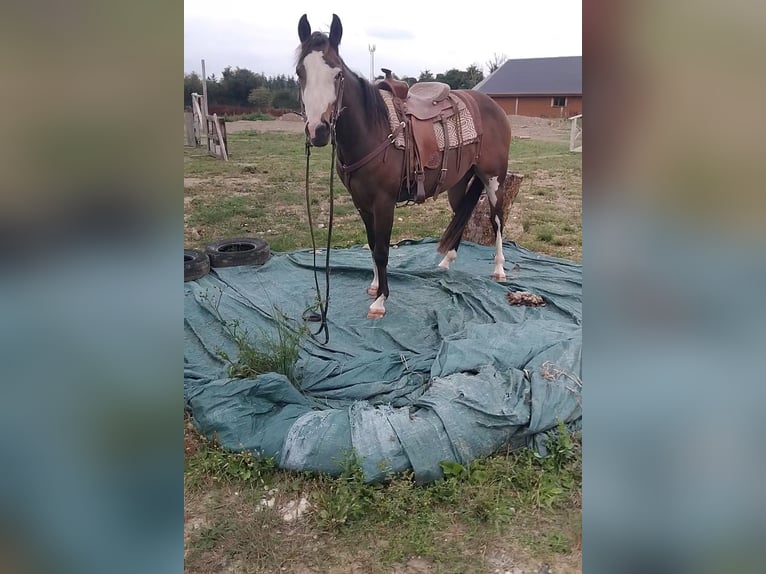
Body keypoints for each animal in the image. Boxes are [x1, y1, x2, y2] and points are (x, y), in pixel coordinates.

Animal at [295, 14, 512, 319]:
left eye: (337, 75)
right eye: (299, 73)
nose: (318, 131)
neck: (372, 130)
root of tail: (493, 106)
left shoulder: (384, 202)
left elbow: (383, 250)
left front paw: (380, 301)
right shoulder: (362, 203)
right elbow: (372, 244)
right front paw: (374, 285)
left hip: (494, 178)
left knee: (497, 220)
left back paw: (499, 269)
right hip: (458, 182)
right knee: (462, 214)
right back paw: (445, 262)